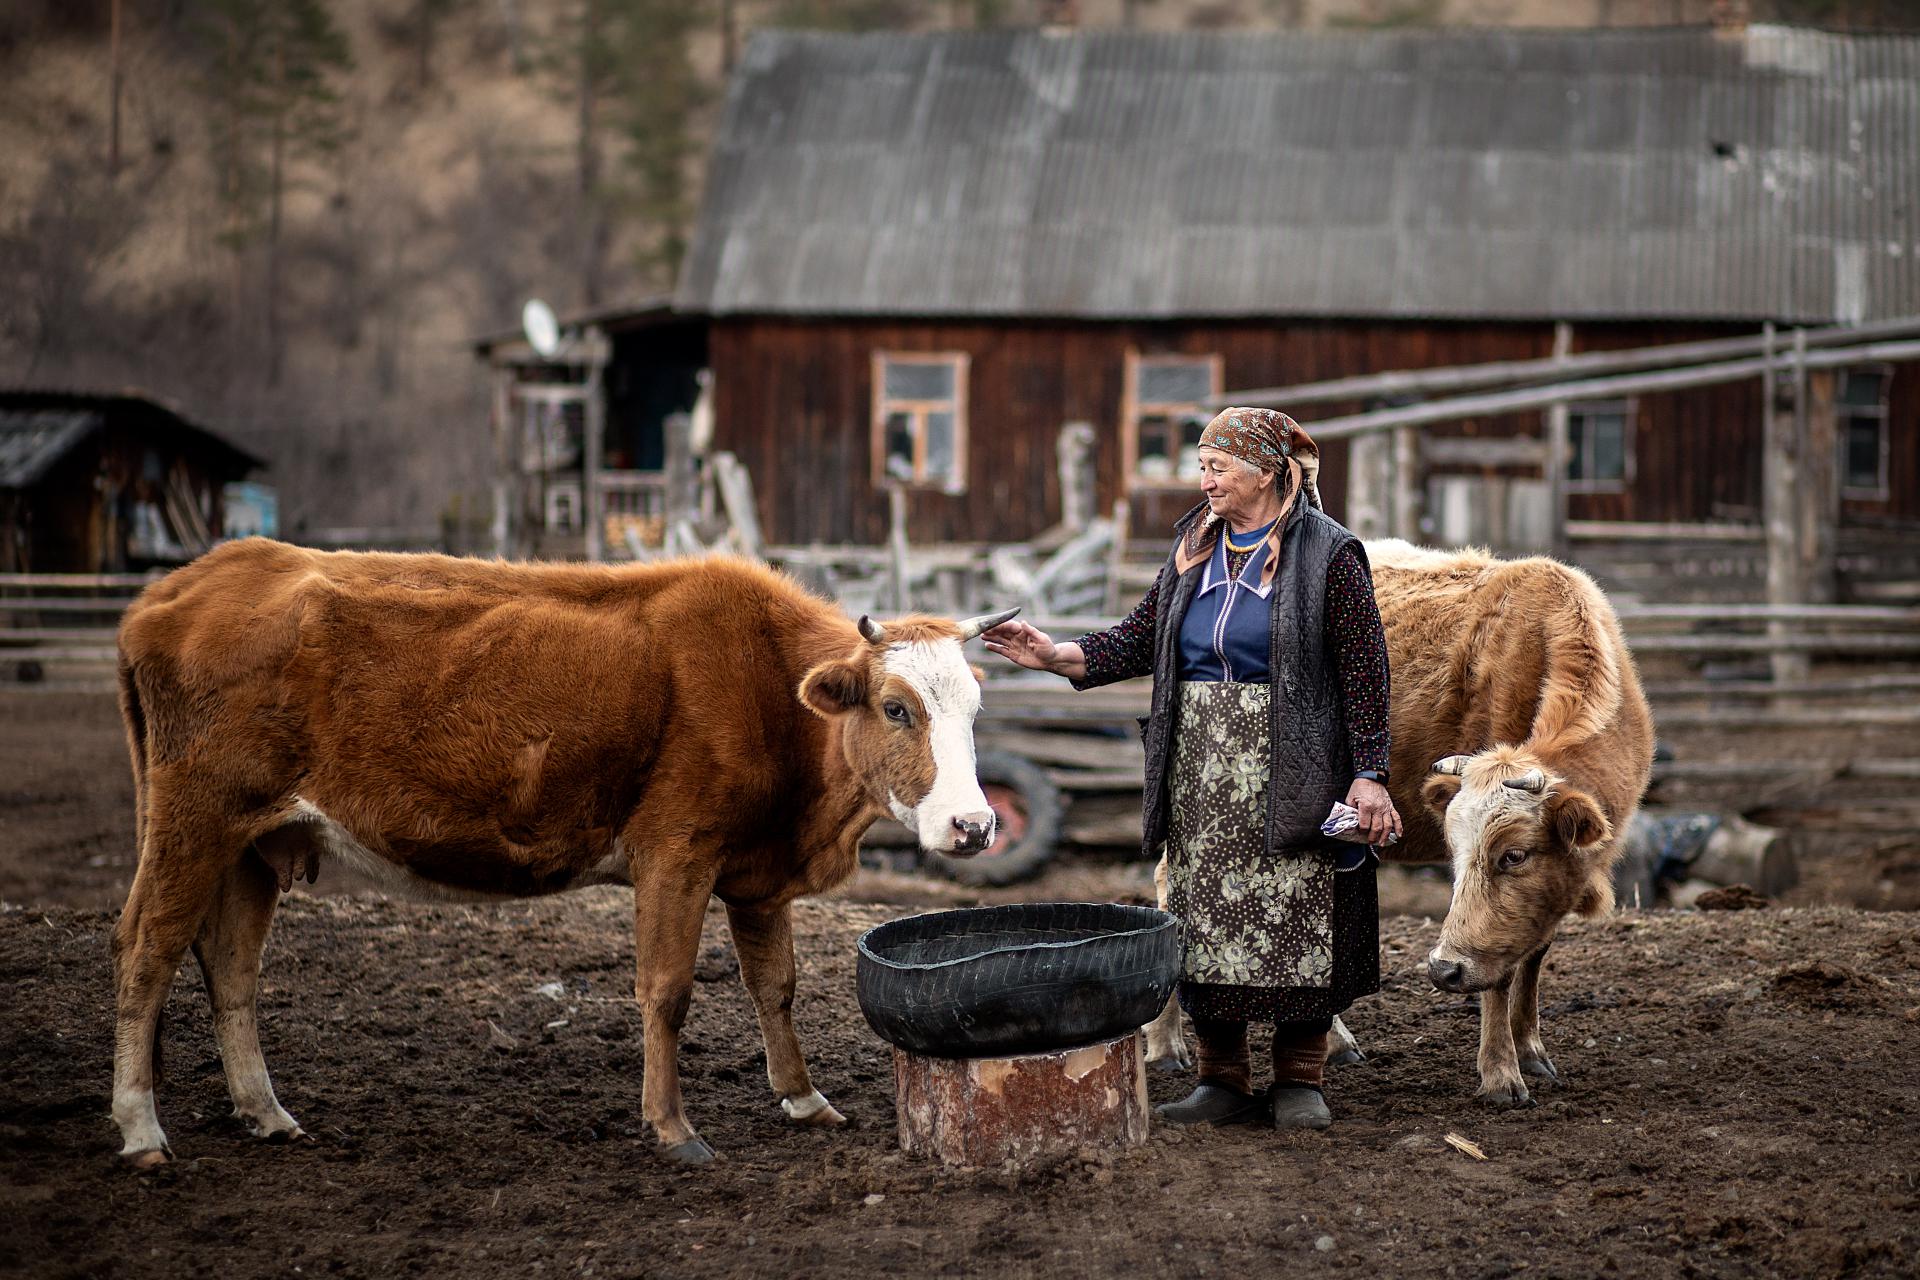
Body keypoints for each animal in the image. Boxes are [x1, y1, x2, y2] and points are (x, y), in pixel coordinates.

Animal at [114, 537, 1021, 1166]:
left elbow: (777, 988)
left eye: (976, 708)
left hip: (253, 844)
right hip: (194, 821)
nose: (974, 826)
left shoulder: (757, 879)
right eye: (897, 708)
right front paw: (672, 1129)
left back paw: (265, 1113)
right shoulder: (675, 856)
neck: (768, 687)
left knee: (231, 968)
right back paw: (140, 1127)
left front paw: (803, 1101)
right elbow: (666, 991)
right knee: (146, 951)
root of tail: (181, 587)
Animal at [1144, 537, 1658, 1105]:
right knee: (1171, 893)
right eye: (1456, 855)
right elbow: (1499, 974)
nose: (1443, 968)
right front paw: (1501, 1074)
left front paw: (1531, 1052)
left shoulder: (1553, 885)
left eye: (1515, 855)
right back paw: (1166, 1045)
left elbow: (1531, 956)